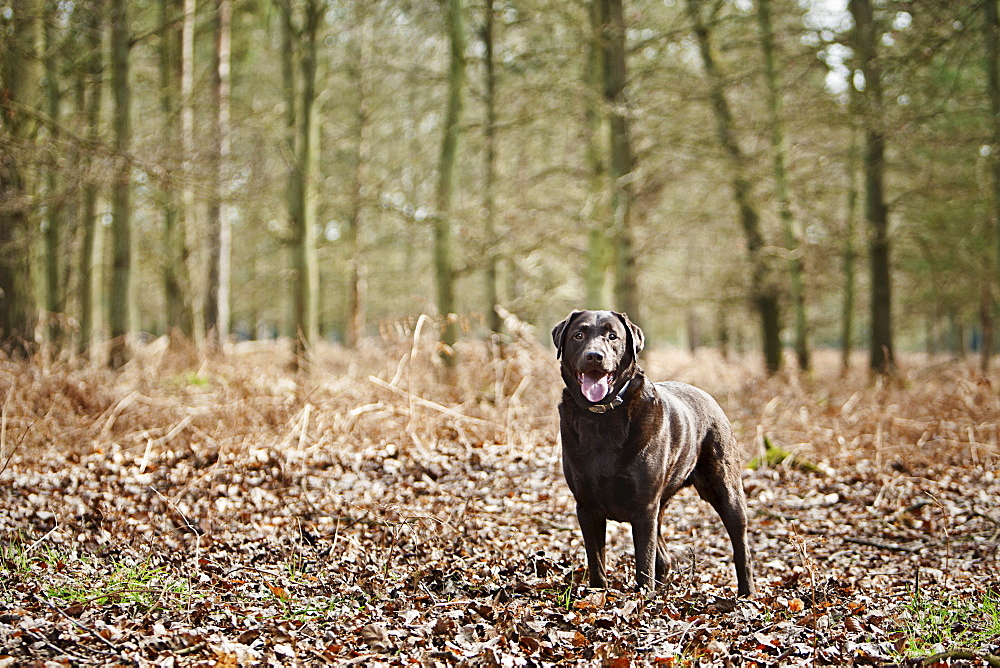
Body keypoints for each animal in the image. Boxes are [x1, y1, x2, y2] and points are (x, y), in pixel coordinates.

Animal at [552, 310, 752, 596]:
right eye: (578, 335)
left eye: (612, 336)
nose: (594, 356)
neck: (602, 416)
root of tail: (709, 398)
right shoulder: (587, 506)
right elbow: (596, 562)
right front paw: (597, 596)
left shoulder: (644, 507)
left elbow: (643, 562)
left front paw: (642, 597)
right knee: (664, 556)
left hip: (726, 489)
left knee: (740, 544)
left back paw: (747, 592)